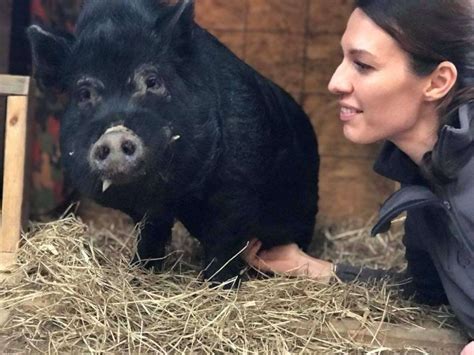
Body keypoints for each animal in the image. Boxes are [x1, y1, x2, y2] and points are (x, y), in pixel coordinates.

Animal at [28, 0, 318, 284]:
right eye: (83, 93)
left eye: (152, 81)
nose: (115, 133)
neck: (179, 192)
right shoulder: (147, 209)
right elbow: (150, 233)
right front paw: (140, 272)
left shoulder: (238, 183)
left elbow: (225, 238)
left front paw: (219, 284)